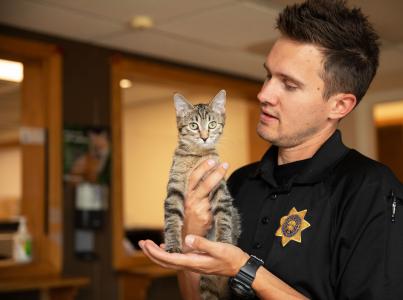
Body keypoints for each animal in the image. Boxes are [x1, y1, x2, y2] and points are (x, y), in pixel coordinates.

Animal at [164, 89, 240, 300]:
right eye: (193, 125)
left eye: (212, 124)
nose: (205, 137)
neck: (197, 156)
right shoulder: (175, 186)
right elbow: (172, 217)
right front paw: (172, 243)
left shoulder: (219, 186)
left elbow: (224, 215)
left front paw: (224, 241)